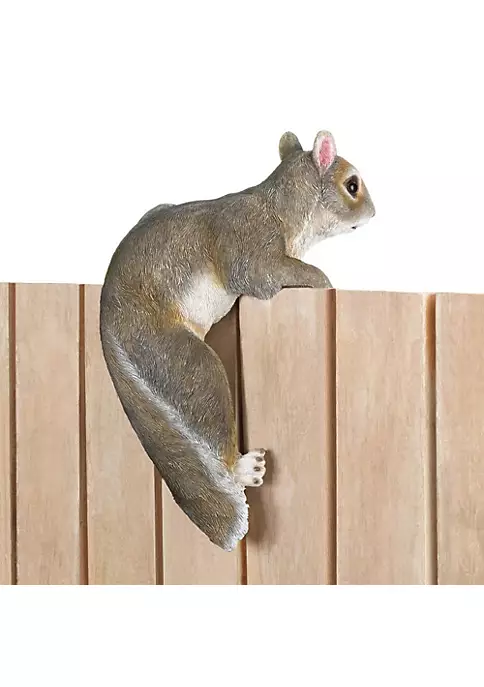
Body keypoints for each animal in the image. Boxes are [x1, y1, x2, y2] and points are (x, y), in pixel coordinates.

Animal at [100, 130, 375, 551]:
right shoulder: (251, 243)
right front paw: (323, 279)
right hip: (176, 357)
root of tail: (107, 322)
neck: (283, 205)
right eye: (352, 185)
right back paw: (242, 469)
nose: (374, 212)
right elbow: (266, 275)